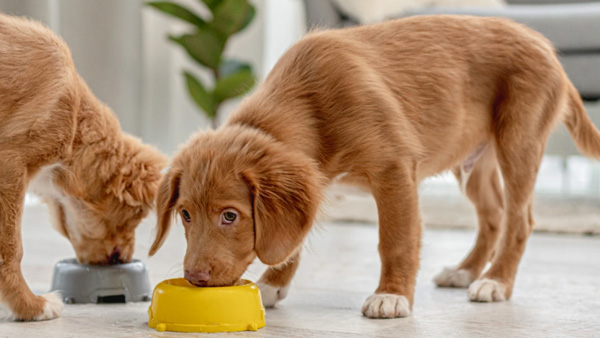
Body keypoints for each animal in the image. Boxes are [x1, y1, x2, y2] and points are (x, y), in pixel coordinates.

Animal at [0, 13, 166, 320]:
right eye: (136, 216)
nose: (124, 259)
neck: (76, 114)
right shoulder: (10, 165)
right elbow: (11, 248)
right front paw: (31, 306)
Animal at [149, 14, 600, 318]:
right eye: (185, 215)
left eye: (230, 216)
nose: (194, 279)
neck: (308, 104)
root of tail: (545, 45)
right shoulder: (316, 185)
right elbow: (292, 239)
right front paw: (274, 285)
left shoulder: (394, 169)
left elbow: (395, 240)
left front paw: (392, 295)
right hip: (473, 164)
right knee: (493, 216)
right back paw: (465, 271)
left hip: (518, 143)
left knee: (519, 220)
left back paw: (495, 281)